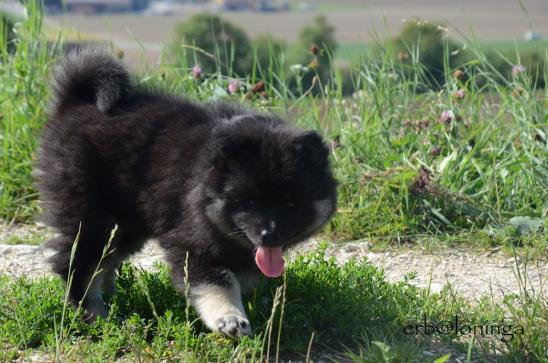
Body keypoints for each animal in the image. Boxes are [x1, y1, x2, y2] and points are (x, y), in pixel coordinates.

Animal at [36, 48, 336, 338]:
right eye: (249, 202)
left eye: (290, 203)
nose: (269, 235)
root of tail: (73, 103)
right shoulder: (193, 242)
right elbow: (218, 283)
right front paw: (230, 318)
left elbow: (245, 274)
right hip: (95, 218)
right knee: (78, 262)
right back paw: (95, 313)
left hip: (127, 226)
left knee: (102, 260)